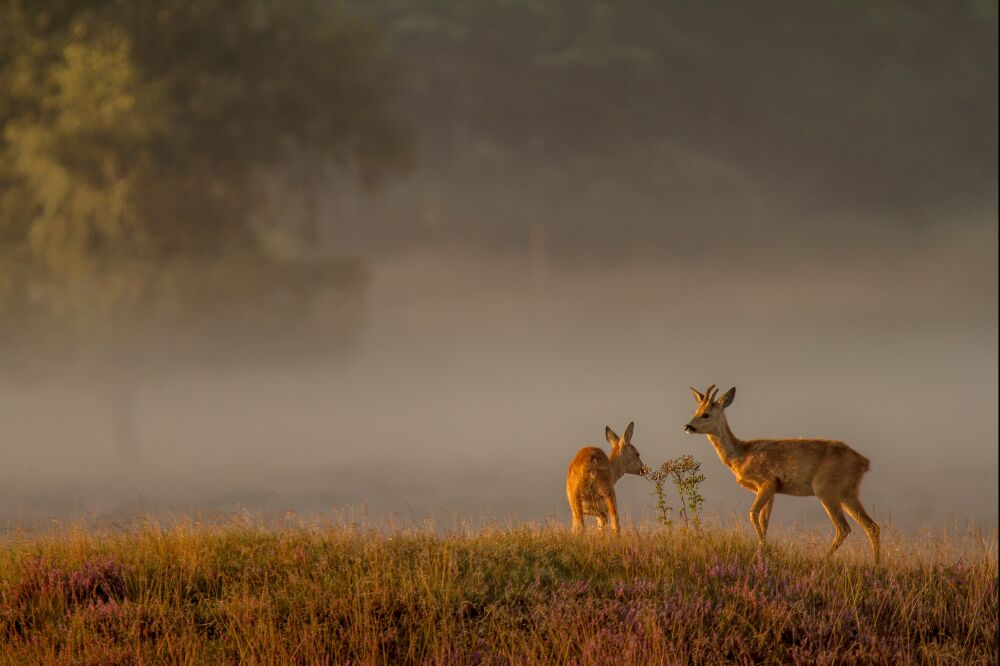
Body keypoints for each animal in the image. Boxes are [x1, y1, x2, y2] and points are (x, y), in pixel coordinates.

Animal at [684, 384, 880, 560]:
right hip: (849, 493)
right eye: (695, 411)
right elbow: (764, 520)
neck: (741, 456)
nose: (687, 426)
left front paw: (764, 549)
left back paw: (823, 560)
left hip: (826, 490)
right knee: (872, 526)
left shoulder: (767, 481)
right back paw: (876, 564)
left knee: (843, 528)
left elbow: (753, 514)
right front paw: (763, 548)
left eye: (706, 414)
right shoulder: (772, 490)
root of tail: (864, 462)